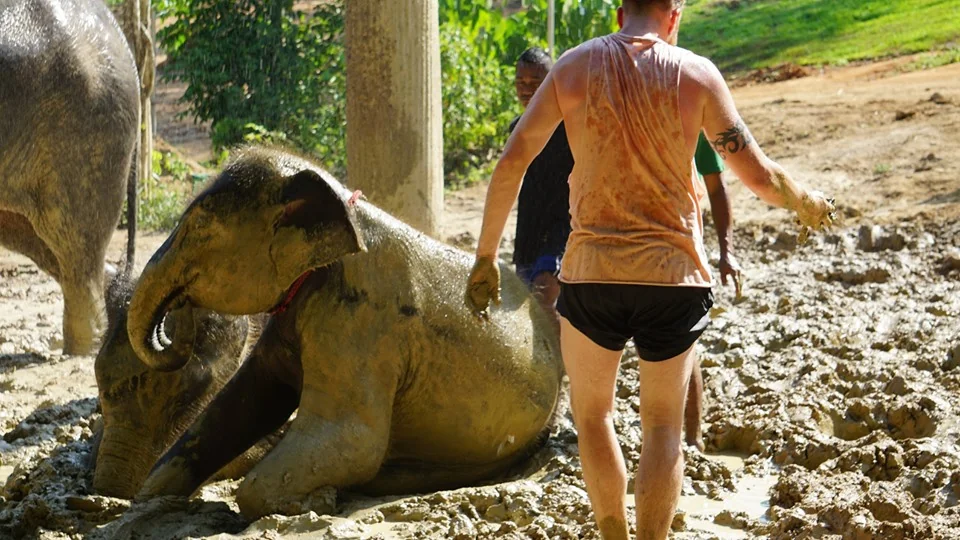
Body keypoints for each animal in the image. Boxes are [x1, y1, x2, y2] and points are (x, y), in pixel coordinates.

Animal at [127, 147, 563, 519]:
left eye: (200, 226)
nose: (180, 309)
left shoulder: (360, 322)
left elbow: (354, 441)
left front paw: (314, 502)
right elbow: (242, 402)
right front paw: (148, 499)